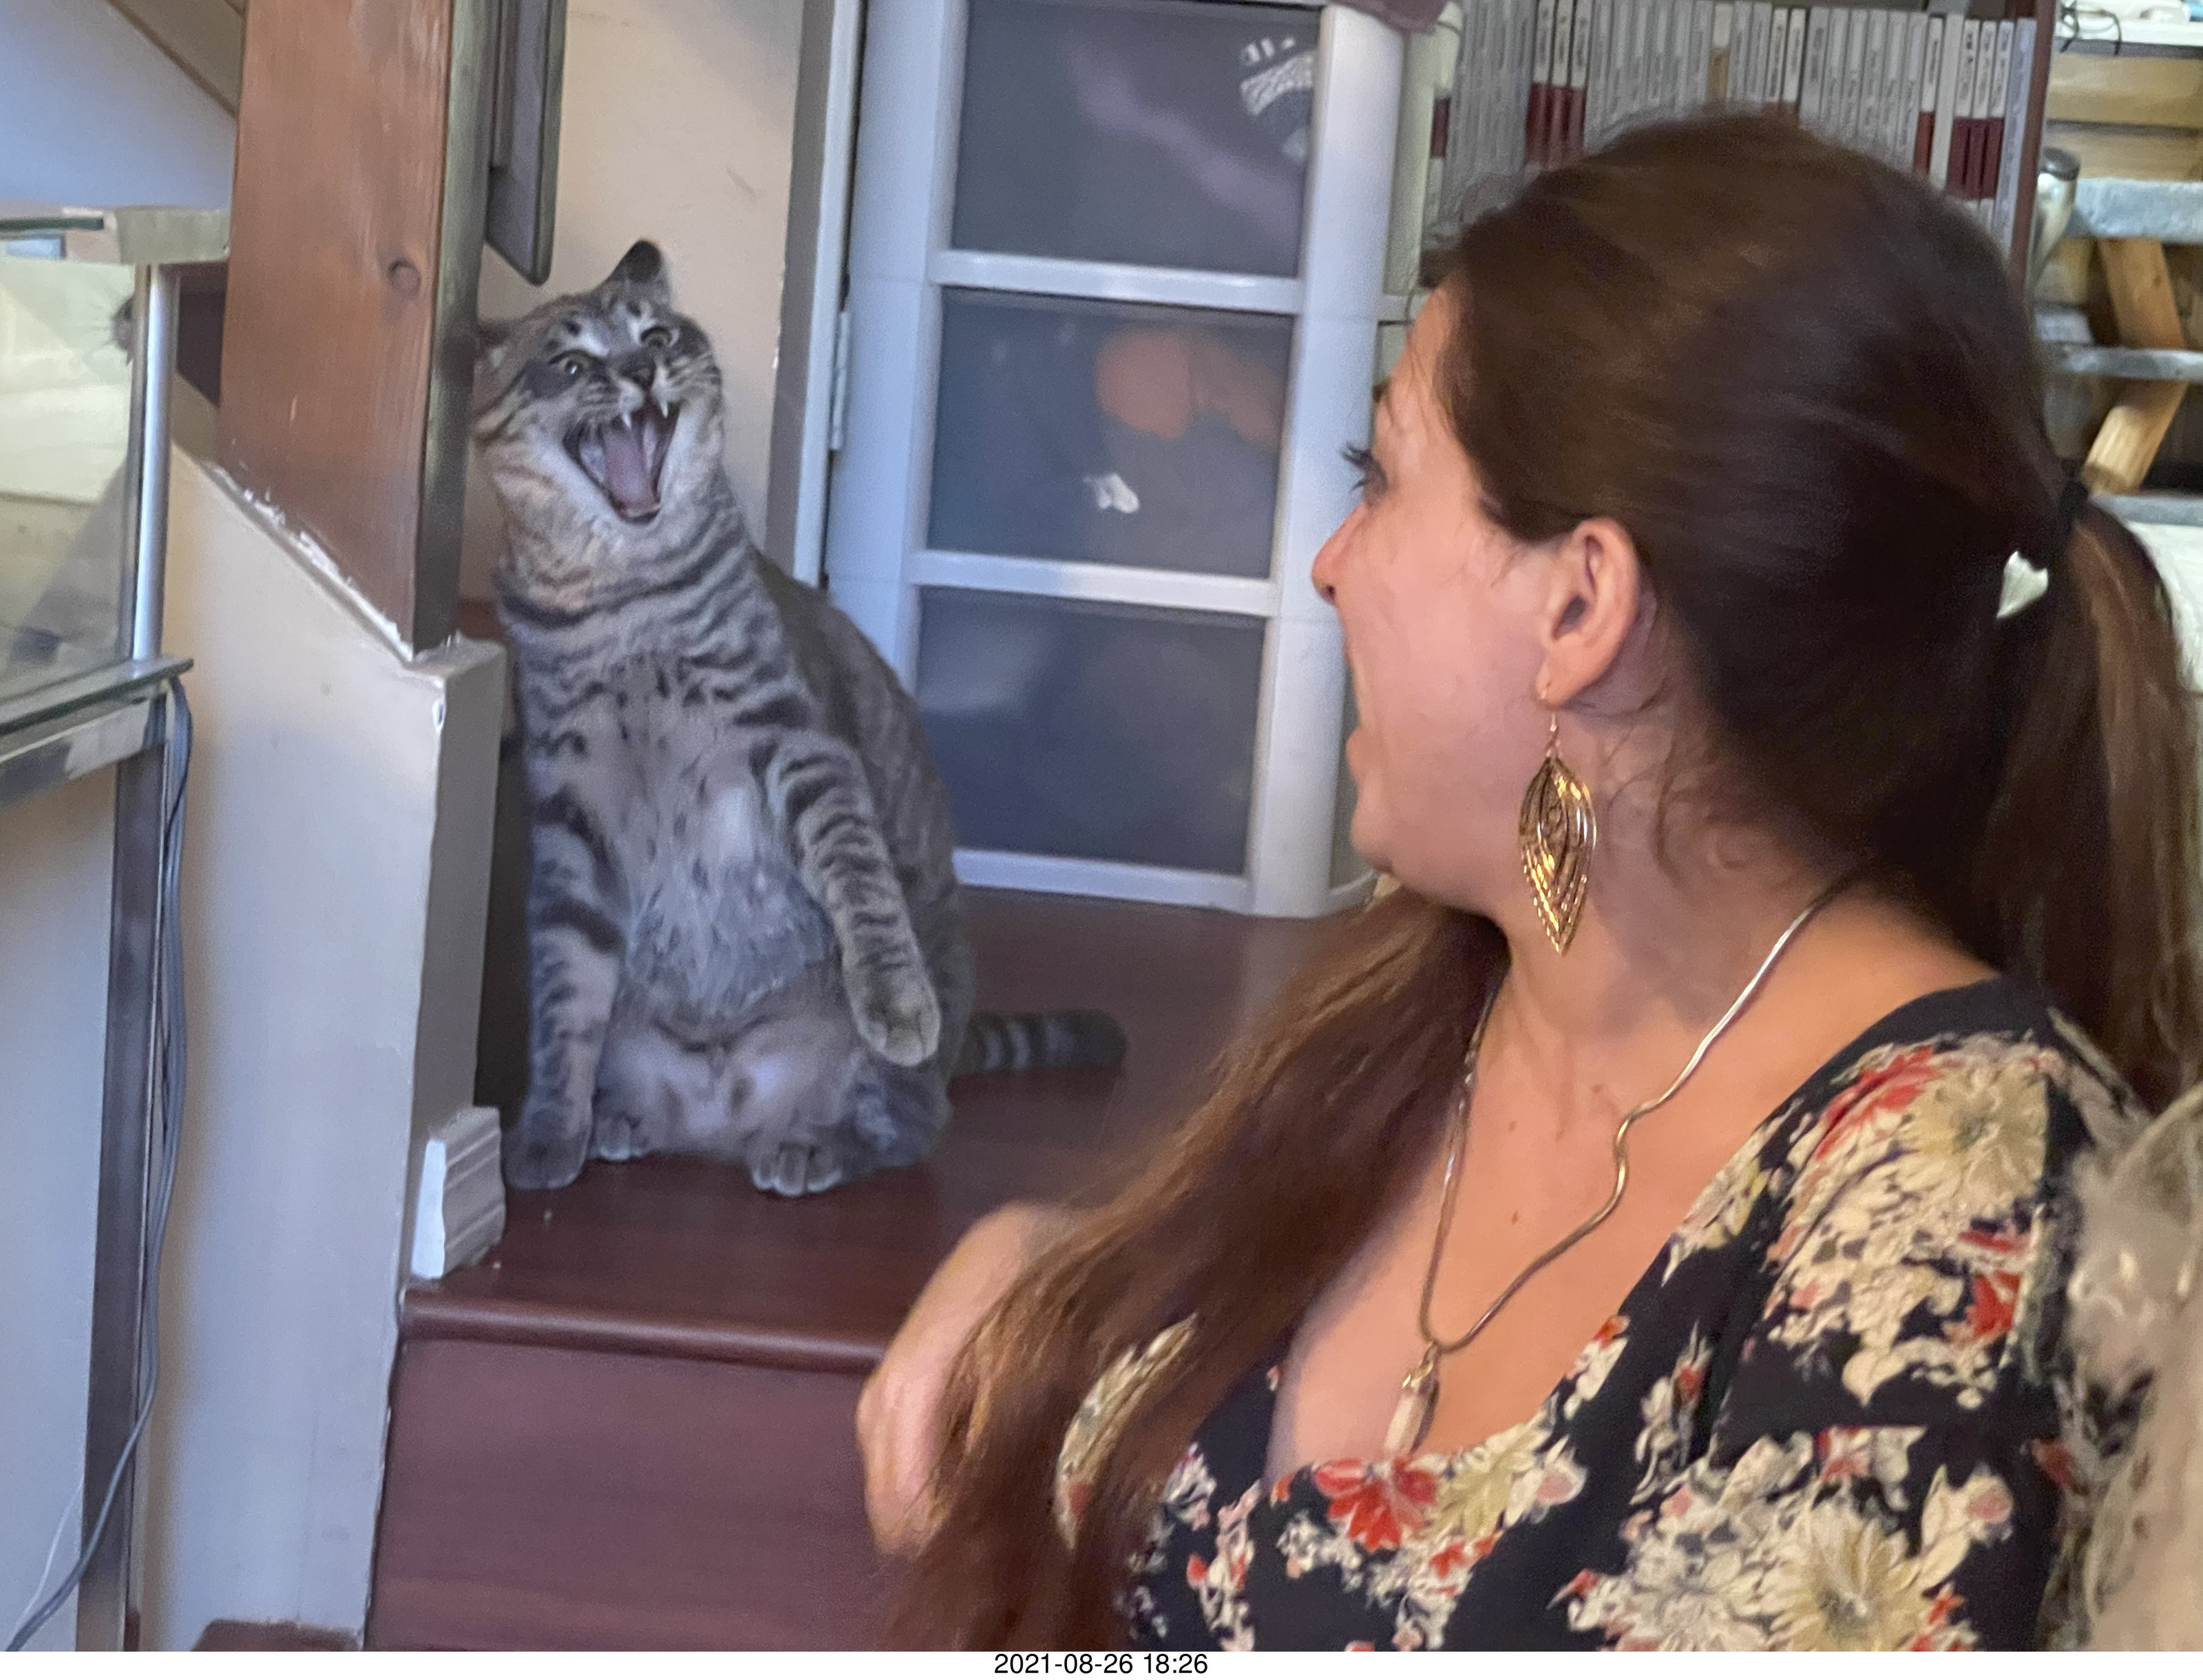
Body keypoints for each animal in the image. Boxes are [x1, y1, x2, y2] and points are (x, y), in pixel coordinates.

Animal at [472, 240, 1124, 1196]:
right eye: (570, 364)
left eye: (656, 335)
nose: (640, 370)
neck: (625, 607)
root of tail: (720, 1118)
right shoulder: (569, 815)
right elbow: (565, 998)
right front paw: (551, 1127)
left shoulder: (796, 744)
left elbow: (859, 882)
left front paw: (892, 998)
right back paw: (620, 1119)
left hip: (908, 1037)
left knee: (910, 1124)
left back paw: (816, 1142)